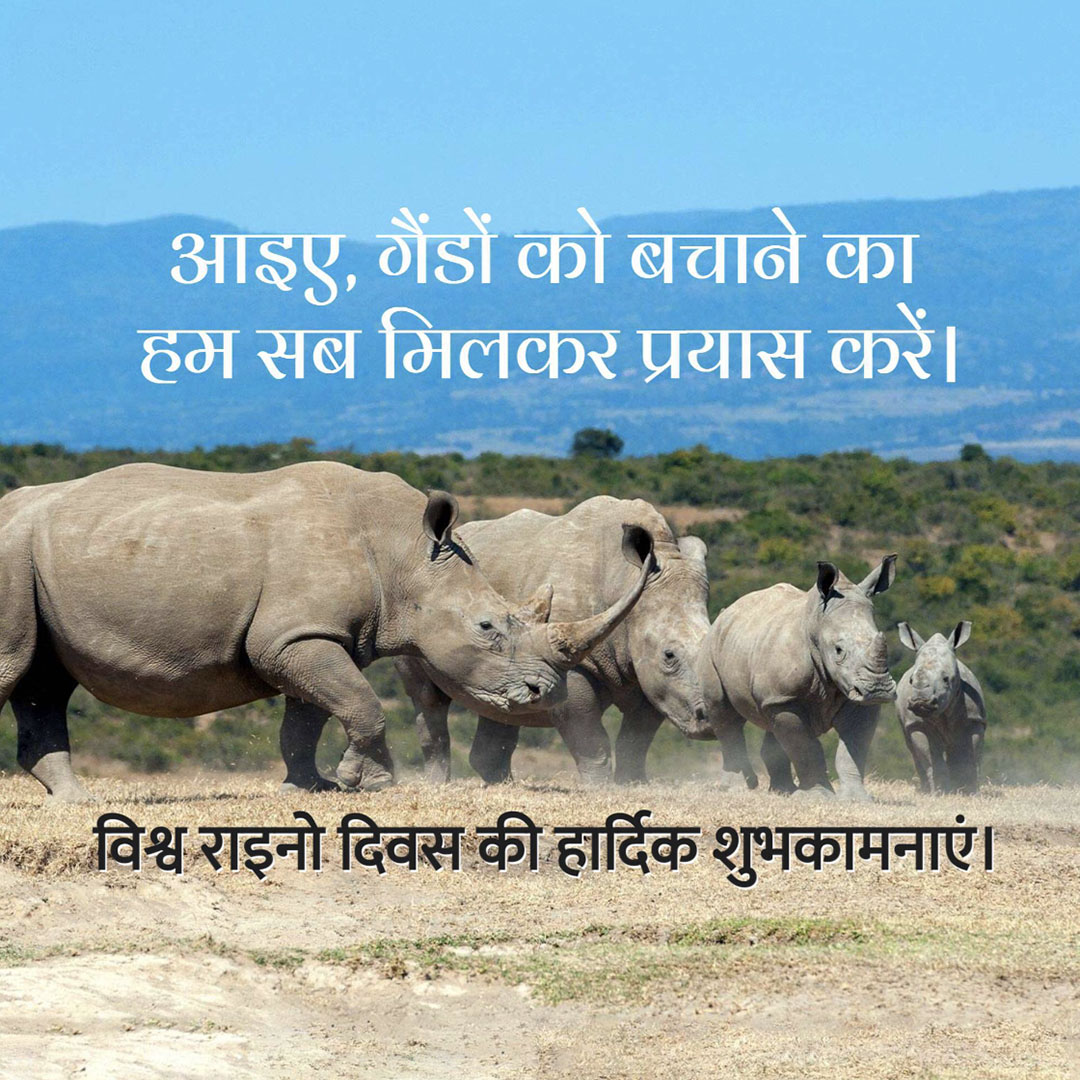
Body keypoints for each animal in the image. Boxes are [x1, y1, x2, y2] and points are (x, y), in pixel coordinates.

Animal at [0, 462, 651, 802]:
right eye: (488, 627)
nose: (543, 693)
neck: (404, 553)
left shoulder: (310, 637)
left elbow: (308, 716)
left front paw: (310, 787)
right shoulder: (295, 638)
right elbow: (363, 705)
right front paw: (372, 783)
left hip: (38, 561)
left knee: (43, 682)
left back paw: (75, 799)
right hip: (12, 552)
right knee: (18, 671)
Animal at [396, 496, 713, 785]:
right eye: (669, 655)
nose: (710, 720)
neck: (625, 580)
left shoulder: (649, 678)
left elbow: (636, 740)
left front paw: (633, 784)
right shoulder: (570, 663)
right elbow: (591, 739)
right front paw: (599, 788)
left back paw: (504, 785)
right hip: (418, 605)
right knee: (427, 697)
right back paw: (438, 784)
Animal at [697, 556, 897, 799]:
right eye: (838, 650)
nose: (879, 689)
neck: (816, 625)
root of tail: (726, 612)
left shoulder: (856, 696)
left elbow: (852, 748)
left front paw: (856, 798)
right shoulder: (785, 698)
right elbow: (806, 747)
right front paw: (818, 796)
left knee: (772, 725)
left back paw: (782, 791)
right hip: (712, 648)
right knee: (725, 715)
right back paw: (738, 789)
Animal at [896, 621, 986, 794]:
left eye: (946, 679)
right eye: (911, 680)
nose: (920, 701)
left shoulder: (974, 721)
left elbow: (967, 757)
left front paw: (967, 791)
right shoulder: (916, 724)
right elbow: (931, 757)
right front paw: (940, 791)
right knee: (914, 750)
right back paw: (926, 790)